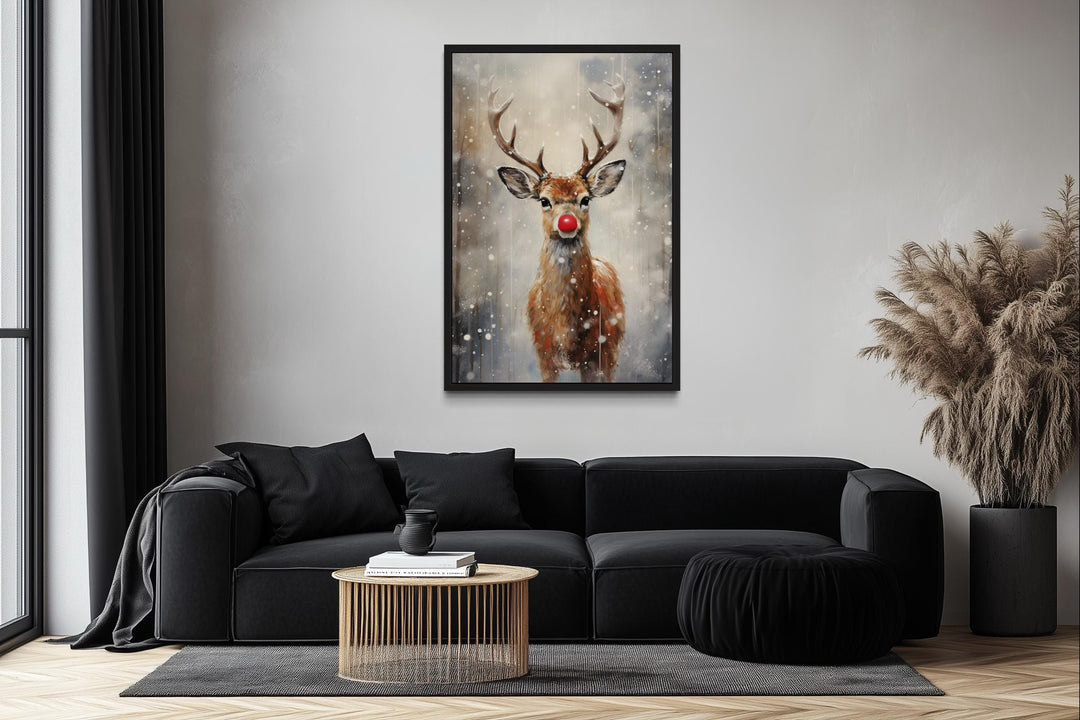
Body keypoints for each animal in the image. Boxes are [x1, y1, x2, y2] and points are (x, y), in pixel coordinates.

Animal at [489, 75, 627, 383]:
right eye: (544, 200)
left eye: (585, 199)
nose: (567, 223)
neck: (568, 333)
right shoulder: (544, 353)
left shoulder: (599, 354)